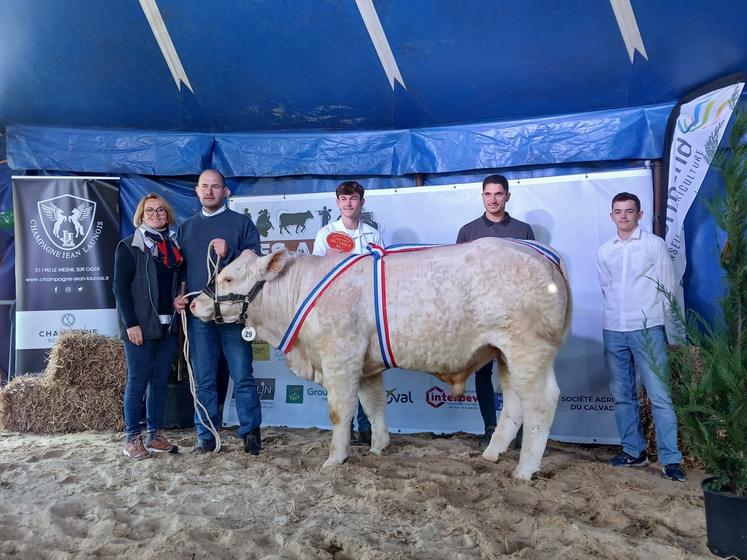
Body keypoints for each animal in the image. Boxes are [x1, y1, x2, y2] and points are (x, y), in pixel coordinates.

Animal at [191, 238, 572, 480]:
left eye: (228, 277)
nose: (193, 303)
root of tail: (543, 254)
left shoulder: (340, 354)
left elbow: (340, 411)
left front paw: (335, 459)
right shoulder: (365, 365)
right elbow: (373, 405)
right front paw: (378, 447)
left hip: (527, 349)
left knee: (541, 403)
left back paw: (524, 470)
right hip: (505, 355)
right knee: (514, 403)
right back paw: (492, 454)